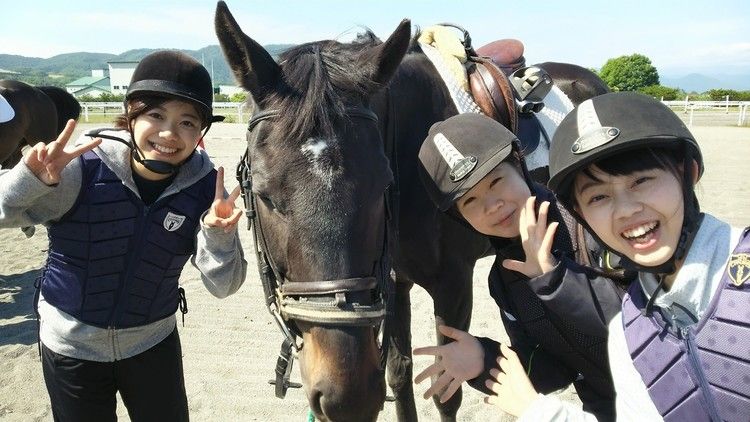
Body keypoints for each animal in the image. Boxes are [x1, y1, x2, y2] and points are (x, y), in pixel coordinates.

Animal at [213, 2, 612, 418]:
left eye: (382, 186)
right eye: (264, 195)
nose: (348, 399)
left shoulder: (453, 284)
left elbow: (447, 391)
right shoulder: (391, 282)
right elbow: (399, 374)